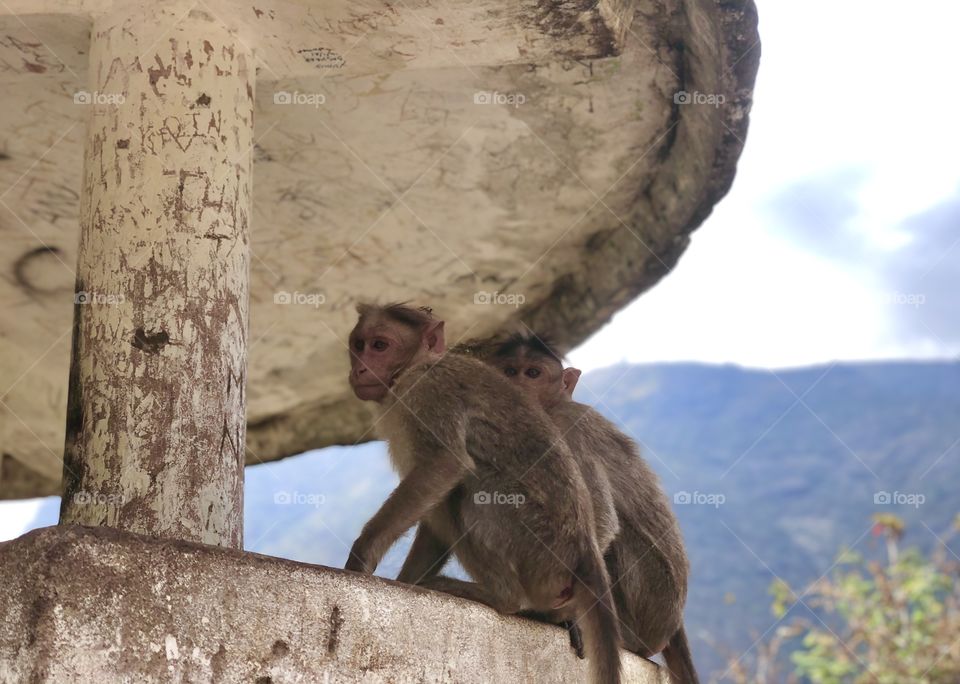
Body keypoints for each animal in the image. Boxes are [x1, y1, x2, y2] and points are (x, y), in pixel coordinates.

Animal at [344, 303, 623, 684]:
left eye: (380, 345)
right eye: (358, 345)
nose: (358, 368)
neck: (417, 366)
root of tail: (585, 554)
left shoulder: (428, 391)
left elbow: (445, 464)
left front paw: (362, 556)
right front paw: (406, 581)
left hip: (537, 547)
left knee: (472, 491)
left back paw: (501, 597)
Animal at [483, 334, 700, 684]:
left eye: (533, 373)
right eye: (510, 370)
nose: (516, 385)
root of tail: (673, 625)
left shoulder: (566, 429)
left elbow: (601, 521)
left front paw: (555, 613)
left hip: (649, 604)